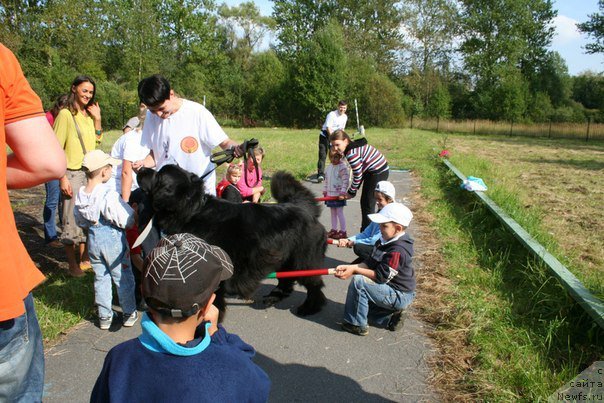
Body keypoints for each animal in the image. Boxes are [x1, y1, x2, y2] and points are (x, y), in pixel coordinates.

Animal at [137, 166, 328, 318]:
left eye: (158, 176)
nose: (141, 168)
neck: (193, 210)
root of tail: (304, 208)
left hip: (303, 261)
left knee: (314, 285)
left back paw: (310, 307)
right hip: (283, 257)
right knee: (286, 280)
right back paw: (275, 296)